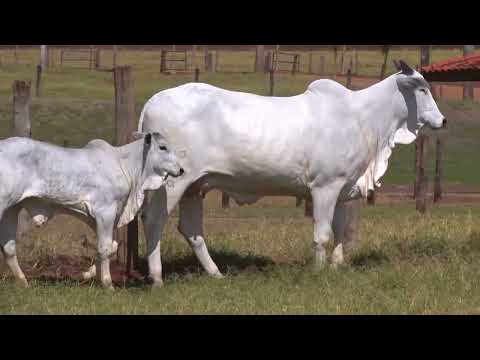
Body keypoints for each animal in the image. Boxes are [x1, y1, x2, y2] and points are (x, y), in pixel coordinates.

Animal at [0, 133, 184, 290]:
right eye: (162, 147)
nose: (181, 170)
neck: (125, 165)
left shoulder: (100, 217)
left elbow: (110, 246)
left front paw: (92, 275)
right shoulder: (106, 212)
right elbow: (105, 248)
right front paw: (107, 284)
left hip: (12, 208)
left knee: (9, 247)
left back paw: (23, 282)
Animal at [116, 60, 446, 288]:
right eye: (422, 88)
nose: (442, 120)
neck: (363, 117)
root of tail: (154, 101)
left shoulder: (343, 189)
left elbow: (340, 230)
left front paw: (337, 266)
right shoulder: (325, 187)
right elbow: (322, 233)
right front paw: (318, 270)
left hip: (195, 185)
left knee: (191, 230)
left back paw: (216, 273)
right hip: (173, 182)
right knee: (154, 221)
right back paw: (157, 277)